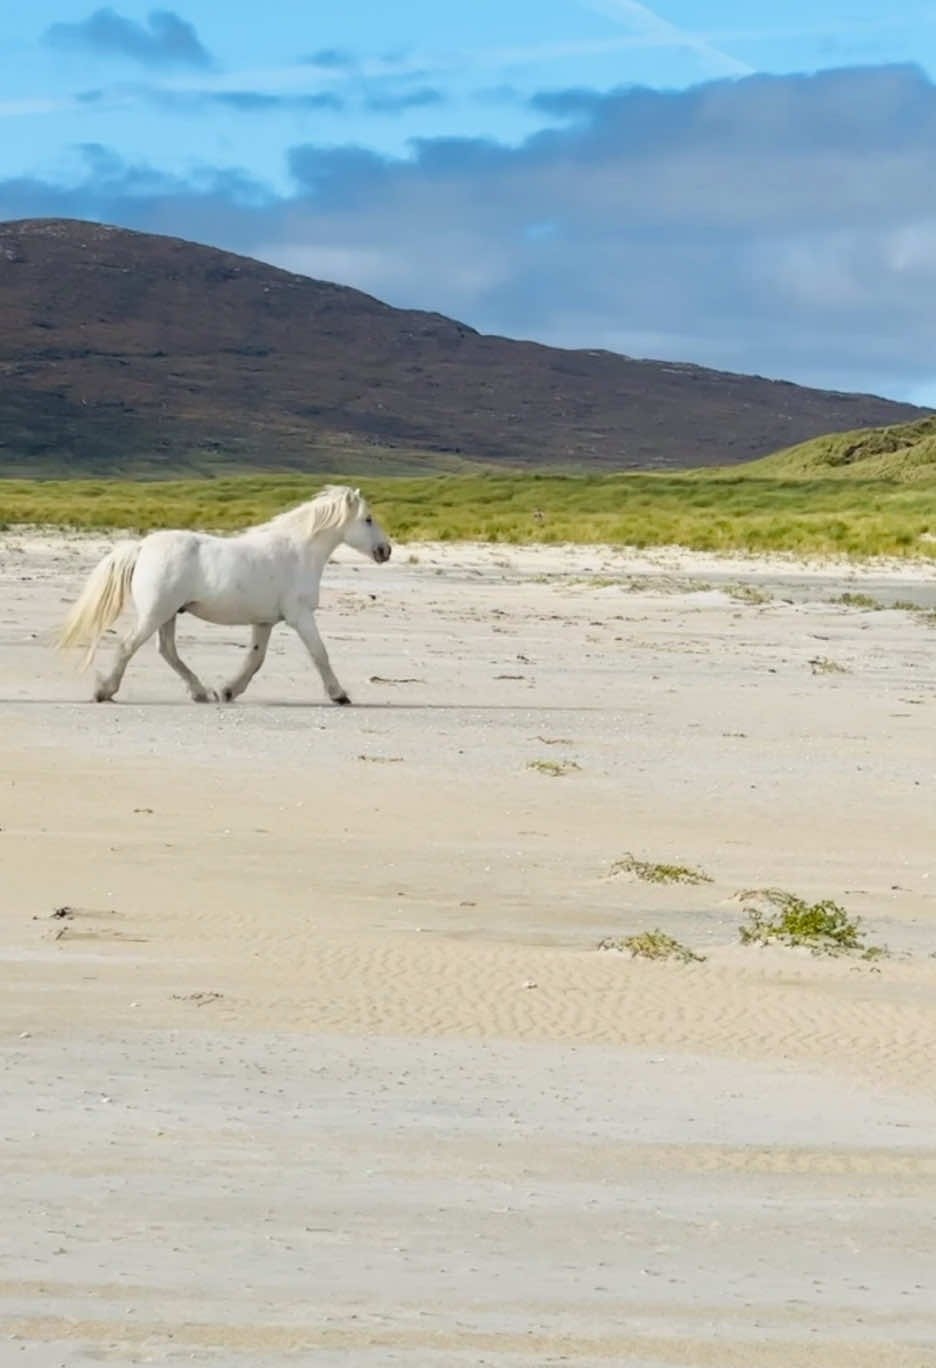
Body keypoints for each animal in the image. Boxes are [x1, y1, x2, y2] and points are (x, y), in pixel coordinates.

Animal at [55, 487, 391, 705]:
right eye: (368, 519)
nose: (385, 550)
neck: (298, 553)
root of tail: (141, 547)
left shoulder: (265, 622)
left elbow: (255, 658)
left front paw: (228, 691)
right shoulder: (300, 617)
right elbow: (319, 654)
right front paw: (340, 695)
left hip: (168, 614)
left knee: (168, 651)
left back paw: (200, 692)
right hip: (155, 613)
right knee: (128, 646)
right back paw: (105, 691)